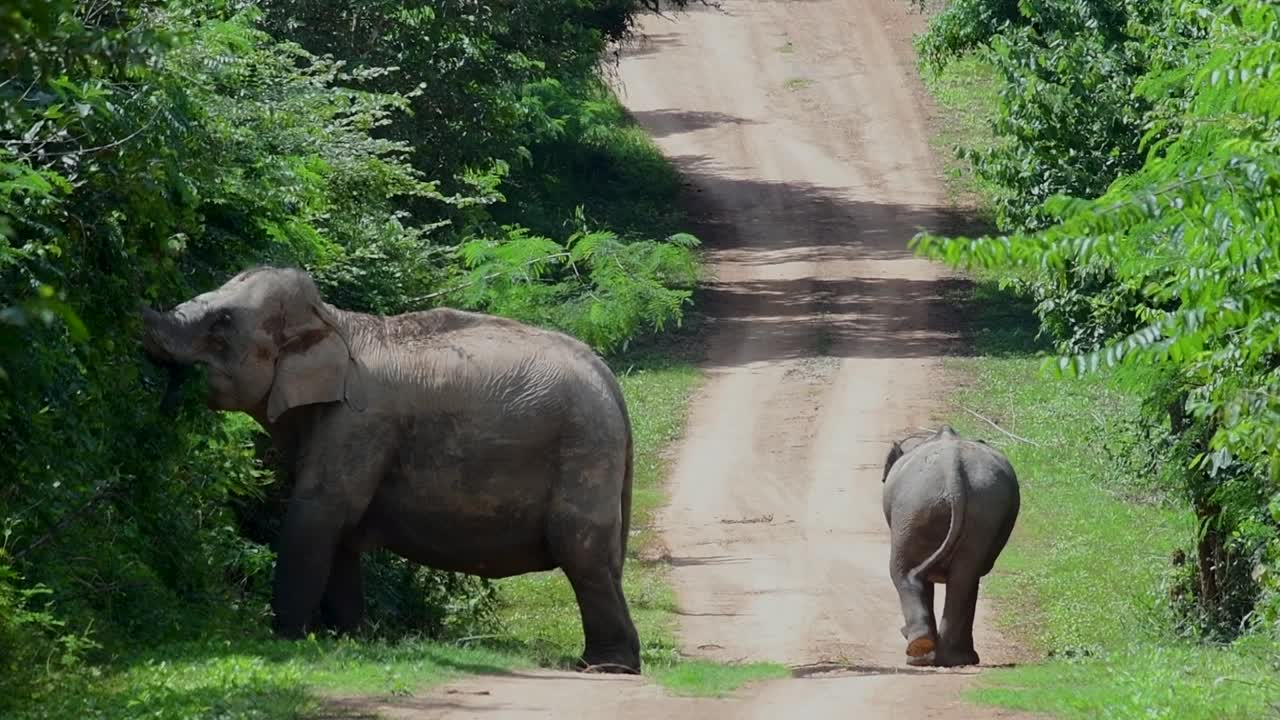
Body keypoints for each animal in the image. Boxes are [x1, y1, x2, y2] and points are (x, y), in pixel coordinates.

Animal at [140, 265, 642, 673]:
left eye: (222, 322)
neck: (335, 321)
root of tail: (610, 381)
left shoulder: (360, 422)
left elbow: (319, 512)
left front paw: (285, 639)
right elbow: (339, 533)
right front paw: (348, 639)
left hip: (584, 448)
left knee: (580, 549)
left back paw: (606, 668)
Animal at [881, 425, 1020, 667]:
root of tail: (952, 470)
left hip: (912, 510)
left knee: (903, 572)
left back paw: (922, 654)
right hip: (974, 512)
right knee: (964, 577)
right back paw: (947, 656)